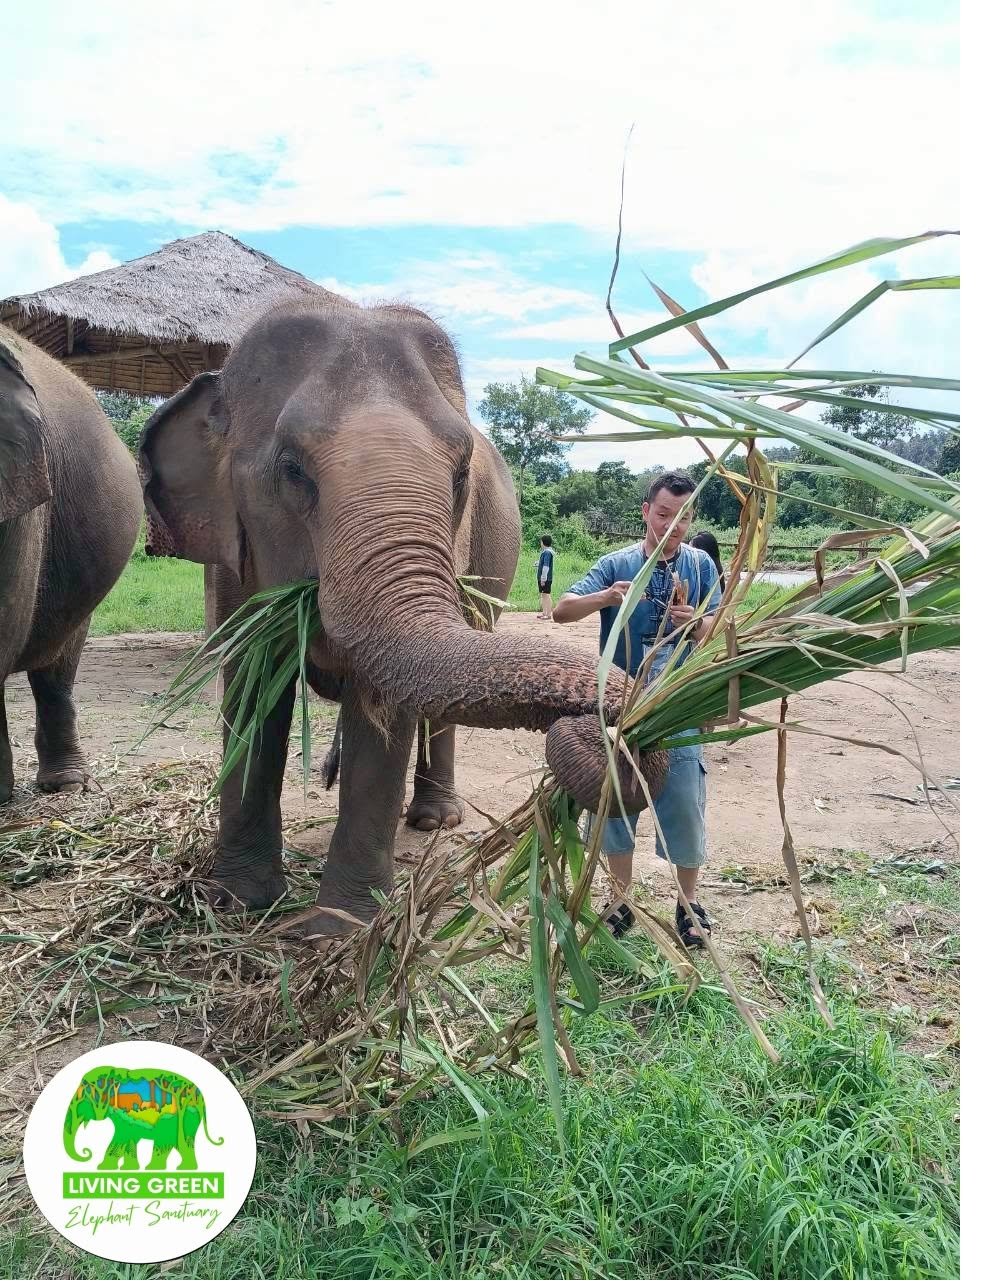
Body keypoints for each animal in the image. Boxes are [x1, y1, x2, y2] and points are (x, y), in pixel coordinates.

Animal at [64, 1066, 223, 1171]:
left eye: (82, 1097)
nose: (87, 1152)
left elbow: (121, 1137)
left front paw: (104, 1168)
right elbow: (130, 1139)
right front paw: (127, 1169)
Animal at [138, 295, 665, 938]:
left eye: (461, 473)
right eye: (291, 468)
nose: (618, 734)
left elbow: (382, 714)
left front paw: (340, 930)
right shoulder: (229, 558)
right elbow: (251, 692)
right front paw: (238, 904)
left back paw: (434, 821)